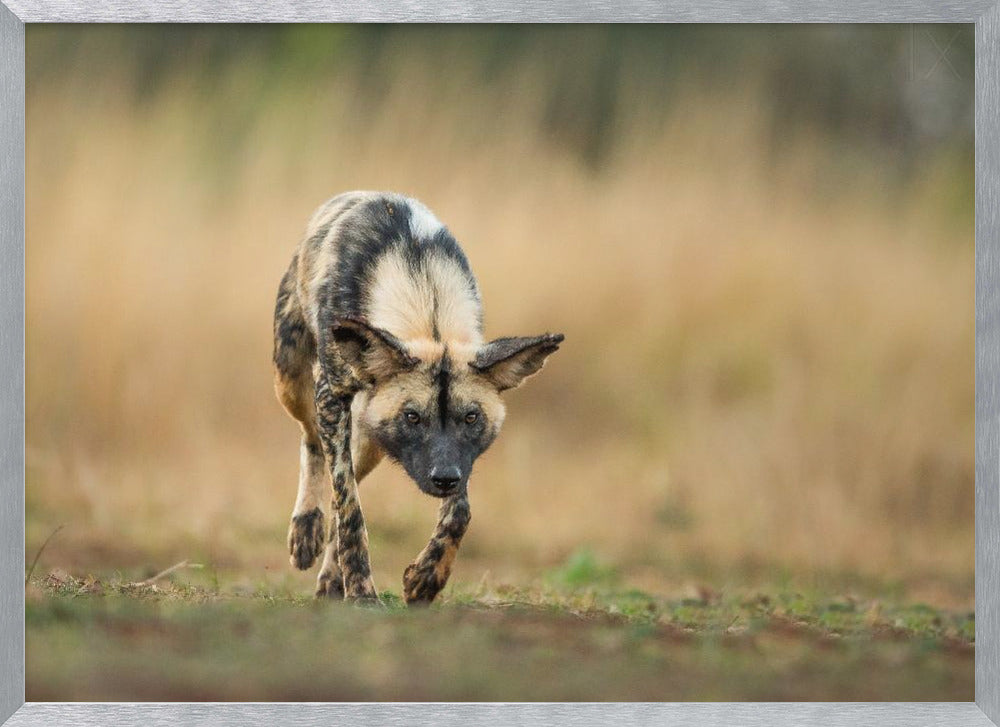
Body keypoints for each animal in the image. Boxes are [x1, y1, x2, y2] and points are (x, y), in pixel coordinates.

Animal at [274, 191, 564, 604]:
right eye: (412, 417)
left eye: (471, 418)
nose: (443, 479)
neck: (427, 303)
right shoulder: (330, 395)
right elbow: (350, 512)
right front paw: (362, 592)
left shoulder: (460, 458)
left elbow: (459, 512)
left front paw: (427, 577)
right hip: (295, 385)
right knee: (313, 444)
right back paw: (306, 529)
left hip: (370, 440)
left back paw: (330, 578)